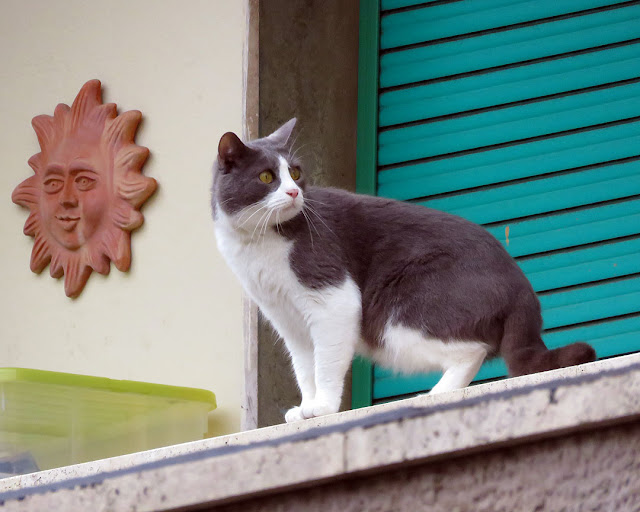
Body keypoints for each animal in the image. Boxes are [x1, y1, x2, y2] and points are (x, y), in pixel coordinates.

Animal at [210, 118, 596, 422]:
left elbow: (327, 362)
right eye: (266, 176)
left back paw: (435, 395)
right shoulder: (287, 319)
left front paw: (323, 408)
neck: (257, 242)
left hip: (397, 316)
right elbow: (306, 367)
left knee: (473, 350)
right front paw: (307, 408)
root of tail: (524, 290)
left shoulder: (334, 298)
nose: (293, 192)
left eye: (295, 173)